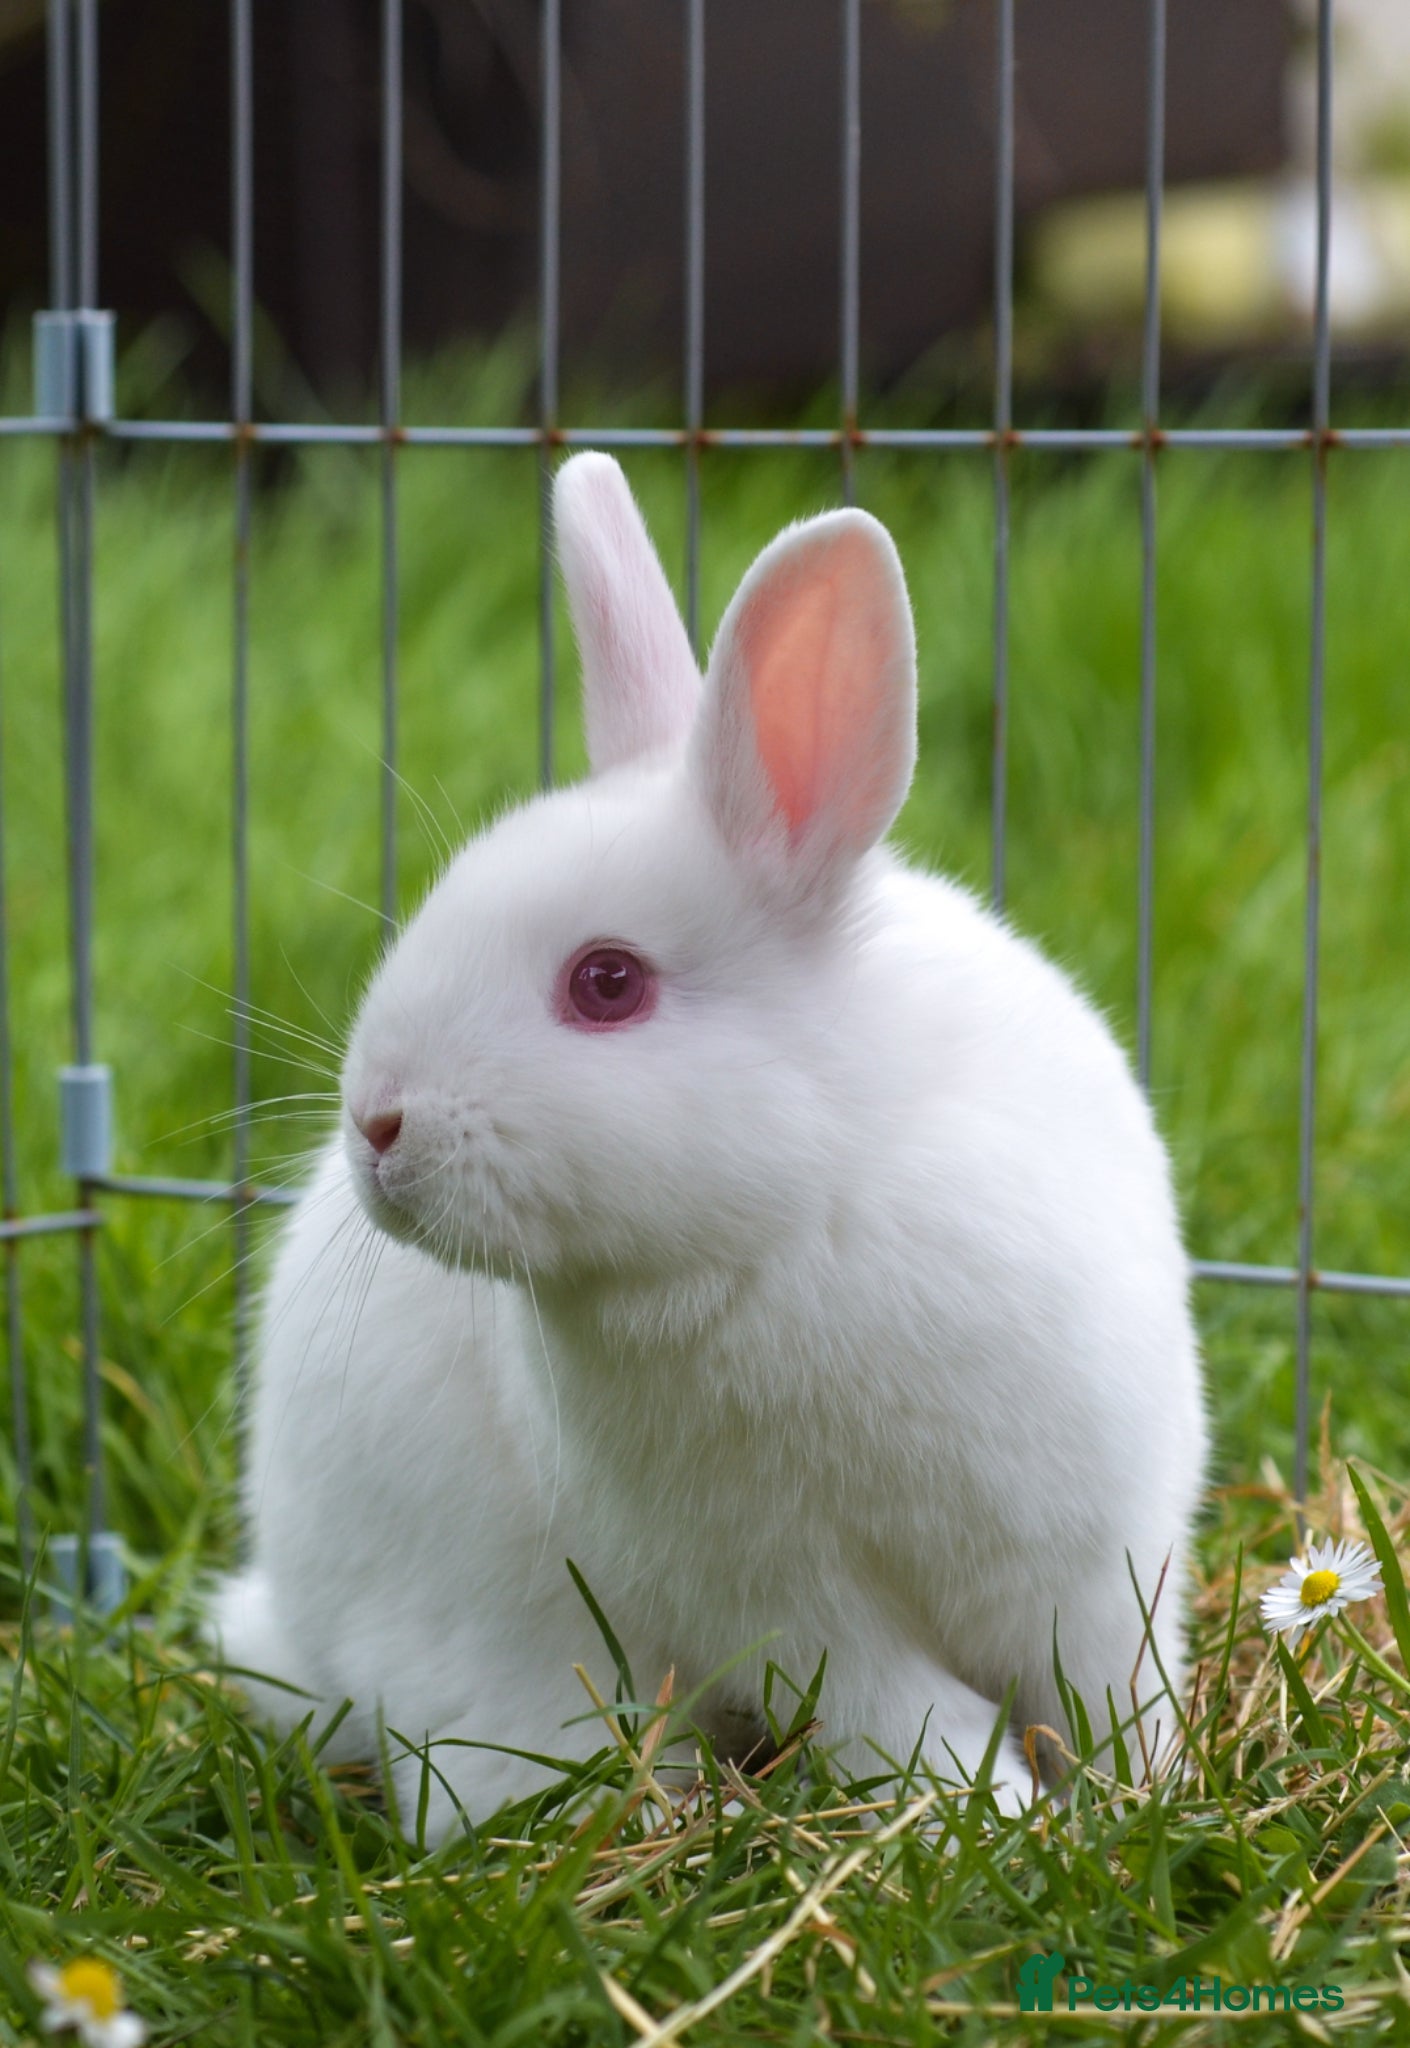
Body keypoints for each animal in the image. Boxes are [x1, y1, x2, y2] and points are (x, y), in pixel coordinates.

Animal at [215, 451, 1207, 1837]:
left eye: (608, 982)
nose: (377, 1126)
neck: (804, 1212)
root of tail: (287, 1629)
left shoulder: (1096, 1537)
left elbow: (1116, 1675)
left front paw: (1138, 1796)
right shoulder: (782, 1590)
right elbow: (905, 1711)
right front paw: (995, 1818)